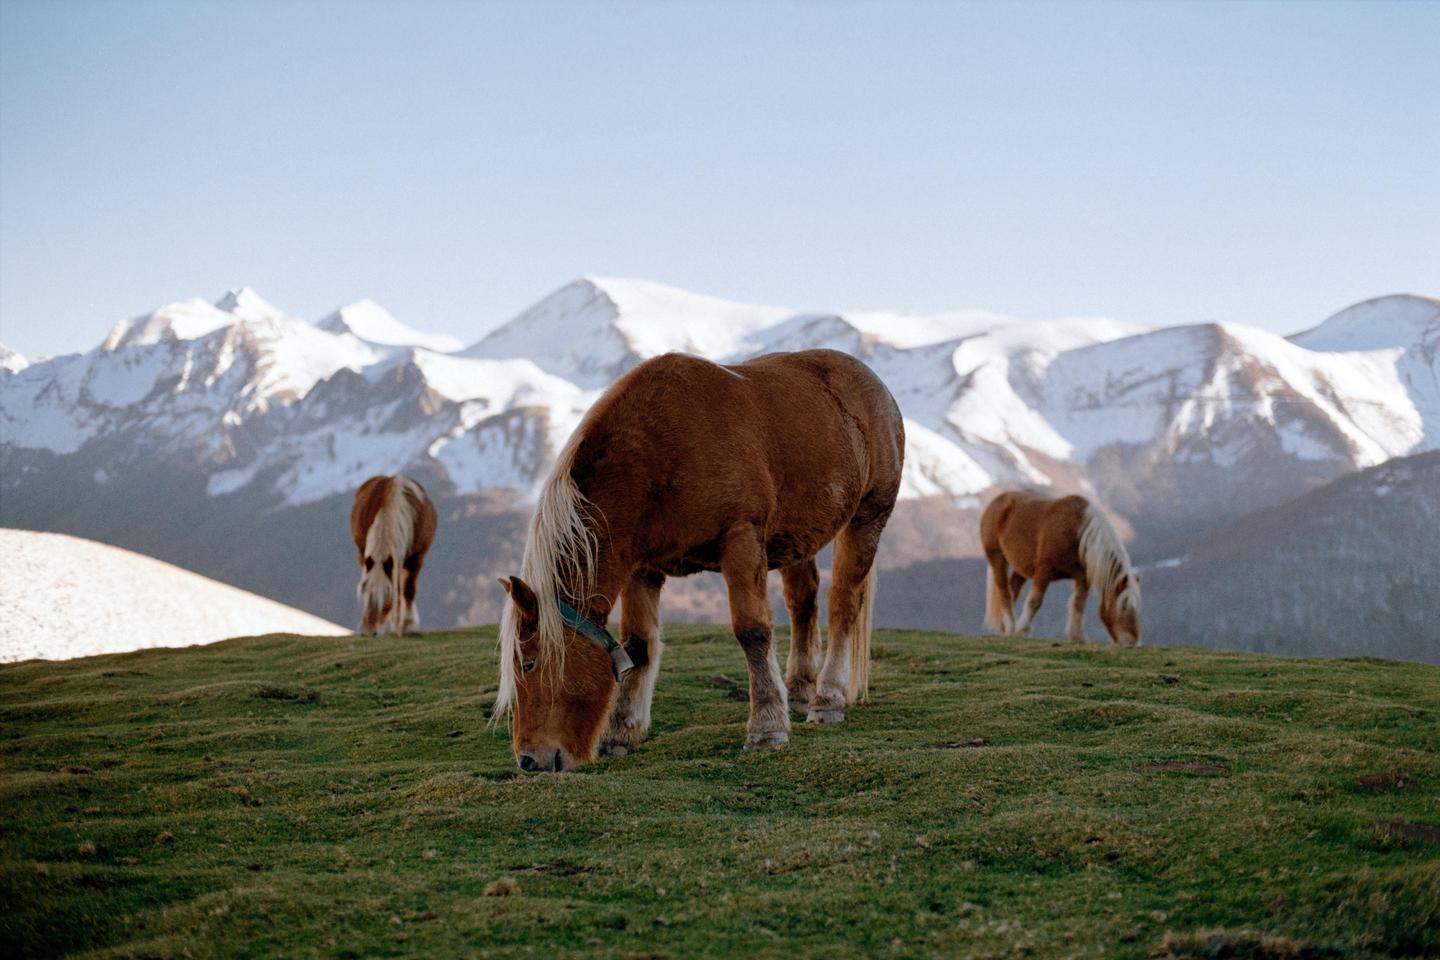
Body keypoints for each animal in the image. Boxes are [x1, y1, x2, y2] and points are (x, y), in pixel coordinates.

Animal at [350, 475, 438, 636]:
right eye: (364, 591)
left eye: (387, 597)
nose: (368, 631)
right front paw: (391, 627)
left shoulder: (416, 558)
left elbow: (408, 590)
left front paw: (408, 626)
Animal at [494, 349, 905, 772]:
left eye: (528, 664)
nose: (528, 760)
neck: (661, 453)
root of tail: (875, 385)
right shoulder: (643, 569)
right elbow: (639, 644)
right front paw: (622, 733)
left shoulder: (741, 541)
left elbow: (753, 631)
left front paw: (767, 727)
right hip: (797, 536)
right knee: (803, 603)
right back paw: (799, 691)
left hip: (867, 517)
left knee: (843, 605)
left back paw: (827, 697)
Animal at [980, 490, 1141, 646]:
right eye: (1124, 605)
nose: (1132, 642)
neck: (1076, 531)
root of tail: (998, 501)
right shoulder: (1044, 570)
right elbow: (1034, 602)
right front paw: (1022, 631)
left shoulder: (1083, 578)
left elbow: (1078, 604)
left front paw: (1077, 636)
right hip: (997, 557)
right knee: (1004, 592)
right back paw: (1011, 627)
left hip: (1021, 567)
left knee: (1013, 589)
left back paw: (1004, 628)